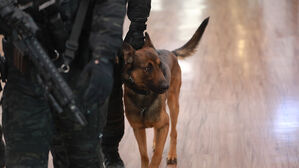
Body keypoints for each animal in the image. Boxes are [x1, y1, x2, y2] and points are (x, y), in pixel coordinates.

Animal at [122, 17, 209, 167]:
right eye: (148, 68)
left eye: (160, 65)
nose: (166, 86)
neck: (143, 97)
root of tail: (171, 52)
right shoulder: (138, 130)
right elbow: (144, 155)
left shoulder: (165, 123)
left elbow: (157, 155)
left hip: (173, 106)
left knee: (174, 132)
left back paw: (172, 154)